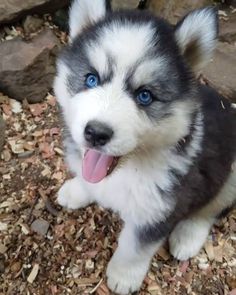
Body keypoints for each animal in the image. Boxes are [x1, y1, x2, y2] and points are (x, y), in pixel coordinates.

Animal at [54, 1, 236, 294]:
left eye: (145, 96)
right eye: (91, 79)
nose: (96, 133)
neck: (127, 170)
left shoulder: (158, 210)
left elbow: (134, 248)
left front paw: (123, 276)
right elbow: (87, 179)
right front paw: (77, 190)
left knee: (211, 208)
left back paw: (187, 236)